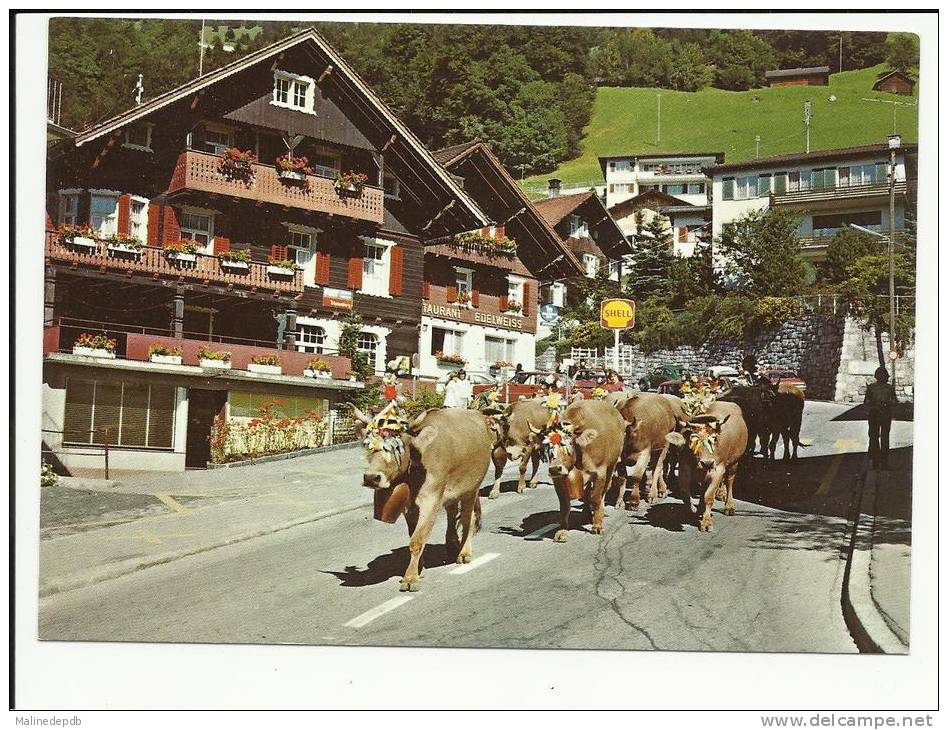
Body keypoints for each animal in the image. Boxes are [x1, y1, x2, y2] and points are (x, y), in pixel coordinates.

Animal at [352, 398, 492, 592]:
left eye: (397, 448)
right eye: (368, 447)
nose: (371, 477)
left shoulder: (430, 501)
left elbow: (417, 540)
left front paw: (410, 578)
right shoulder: (409, 506)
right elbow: (413, 536)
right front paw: (419, 568)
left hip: (471, 489)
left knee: (467, 518)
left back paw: (464, 553)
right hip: (452, 492)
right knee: (451, 513)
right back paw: (452, 545)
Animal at [528, 392, 624, 540]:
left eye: (568, 444)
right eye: (548, 447)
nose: (554, 468)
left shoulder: (600, 473)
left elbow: (596, 498)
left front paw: (597, 525)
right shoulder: (558, 478)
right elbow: (564, 504)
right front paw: (562, 530)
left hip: (612, 465)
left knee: (603, 492)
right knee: (587, 492)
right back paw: (586, 515)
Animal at [668, 398, 748, 528]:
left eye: (714, 438)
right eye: (693, 440)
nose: (707, 463)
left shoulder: (718, 470)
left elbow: (709, 496)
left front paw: (706, 522)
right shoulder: (684, 468)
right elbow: (685, 494)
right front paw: (694, 510)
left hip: (734, 462)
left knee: (729, 481)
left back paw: (729, 506)